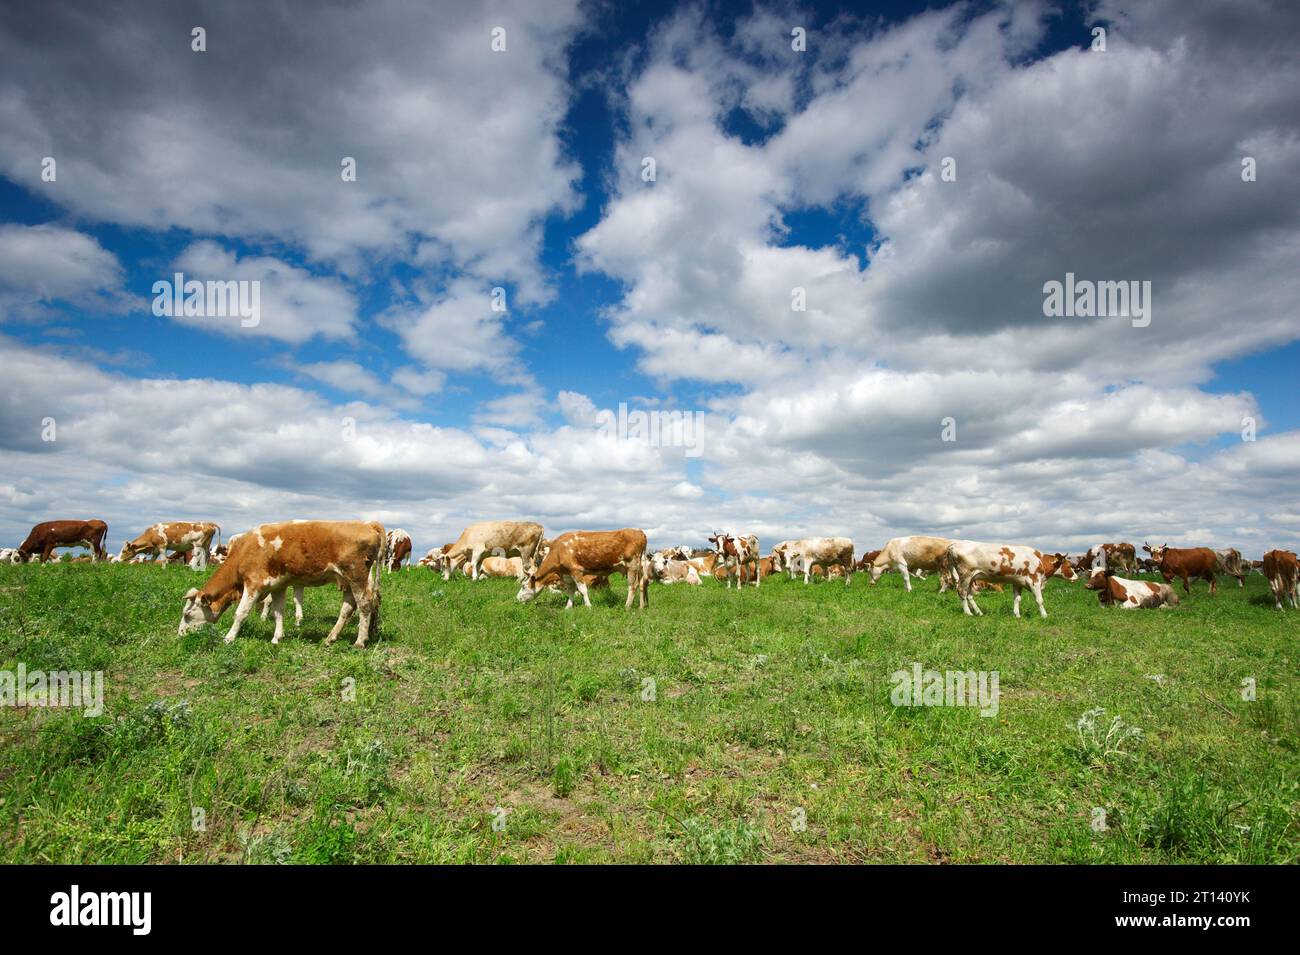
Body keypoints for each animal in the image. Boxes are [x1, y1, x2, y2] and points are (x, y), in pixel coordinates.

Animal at [178, 520, 386, 648]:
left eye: (187, 614)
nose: (180, 636)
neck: (245, 551)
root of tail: (368, 524)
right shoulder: (278, 586)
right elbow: (278, 613)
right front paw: (277, 637)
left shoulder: (253, 584)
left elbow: (240, 613)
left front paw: (229, 637)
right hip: (348, 581)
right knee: (348, 608)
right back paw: (330, 638)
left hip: (356, 576)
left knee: (365, 605)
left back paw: (360, 641)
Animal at [516, 528, 649, 609]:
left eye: (524, 586)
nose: (517, 599)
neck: (559, 550)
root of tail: (639, 531)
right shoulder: (567, 574)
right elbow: (570, 591)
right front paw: (568, 607)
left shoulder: (576, 570)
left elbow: (582, 590)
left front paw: (588, 606)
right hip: (639, 567)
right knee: (642, 584)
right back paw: (641, 606)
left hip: (632, 565)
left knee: (633, 586)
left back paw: (627, 606)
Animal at [944, 541, 1075, 618]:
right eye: (1069, 566)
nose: (1076, 576)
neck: (1040, 560)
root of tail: (953, 545)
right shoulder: (1034, 581)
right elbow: (1039, 600)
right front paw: (1044, 615)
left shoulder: (1018, 582)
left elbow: (1017, 599)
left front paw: (1017, 615)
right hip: (965, 574)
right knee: (962, 592)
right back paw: (968, 613)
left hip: (971, 577)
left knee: (969, 595)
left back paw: (979, 612)